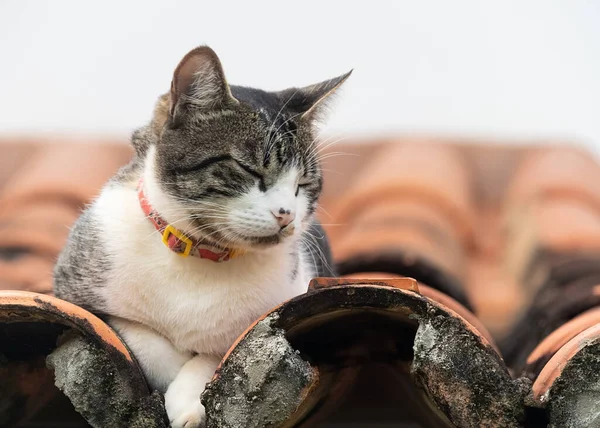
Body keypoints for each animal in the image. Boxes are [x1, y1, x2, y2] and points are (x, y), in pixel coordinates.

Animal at [54, 45, 350, 426]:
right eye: (249, 169)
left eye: (304, 184)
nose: (287, 215)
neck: (200, 253)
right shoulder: (74, 292)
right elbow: (134, 334)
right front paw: (171, 376)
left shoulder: (279, 307)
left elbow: (220, 350)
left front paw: (188, 397)